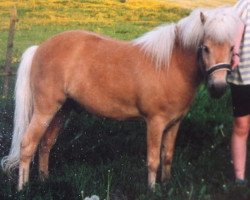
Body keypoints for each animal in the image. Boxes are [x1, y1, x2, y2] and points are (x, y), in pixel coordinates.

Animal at [0, 6, 241, 191]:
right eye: (205, 48)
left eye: (232, 48)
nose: (218, 87)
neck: (170, 64)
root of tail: (39, 48)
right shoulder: (155, 122)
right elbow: (153, 159)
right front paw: (152, 190)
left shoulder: (174, 124)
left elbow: (167, 156)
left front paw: (166, 185)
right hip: (45, 109)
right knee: (27, 144)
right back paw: (23, 188)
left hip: (62, 110)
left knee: (45, 144)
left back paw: (45, 180)